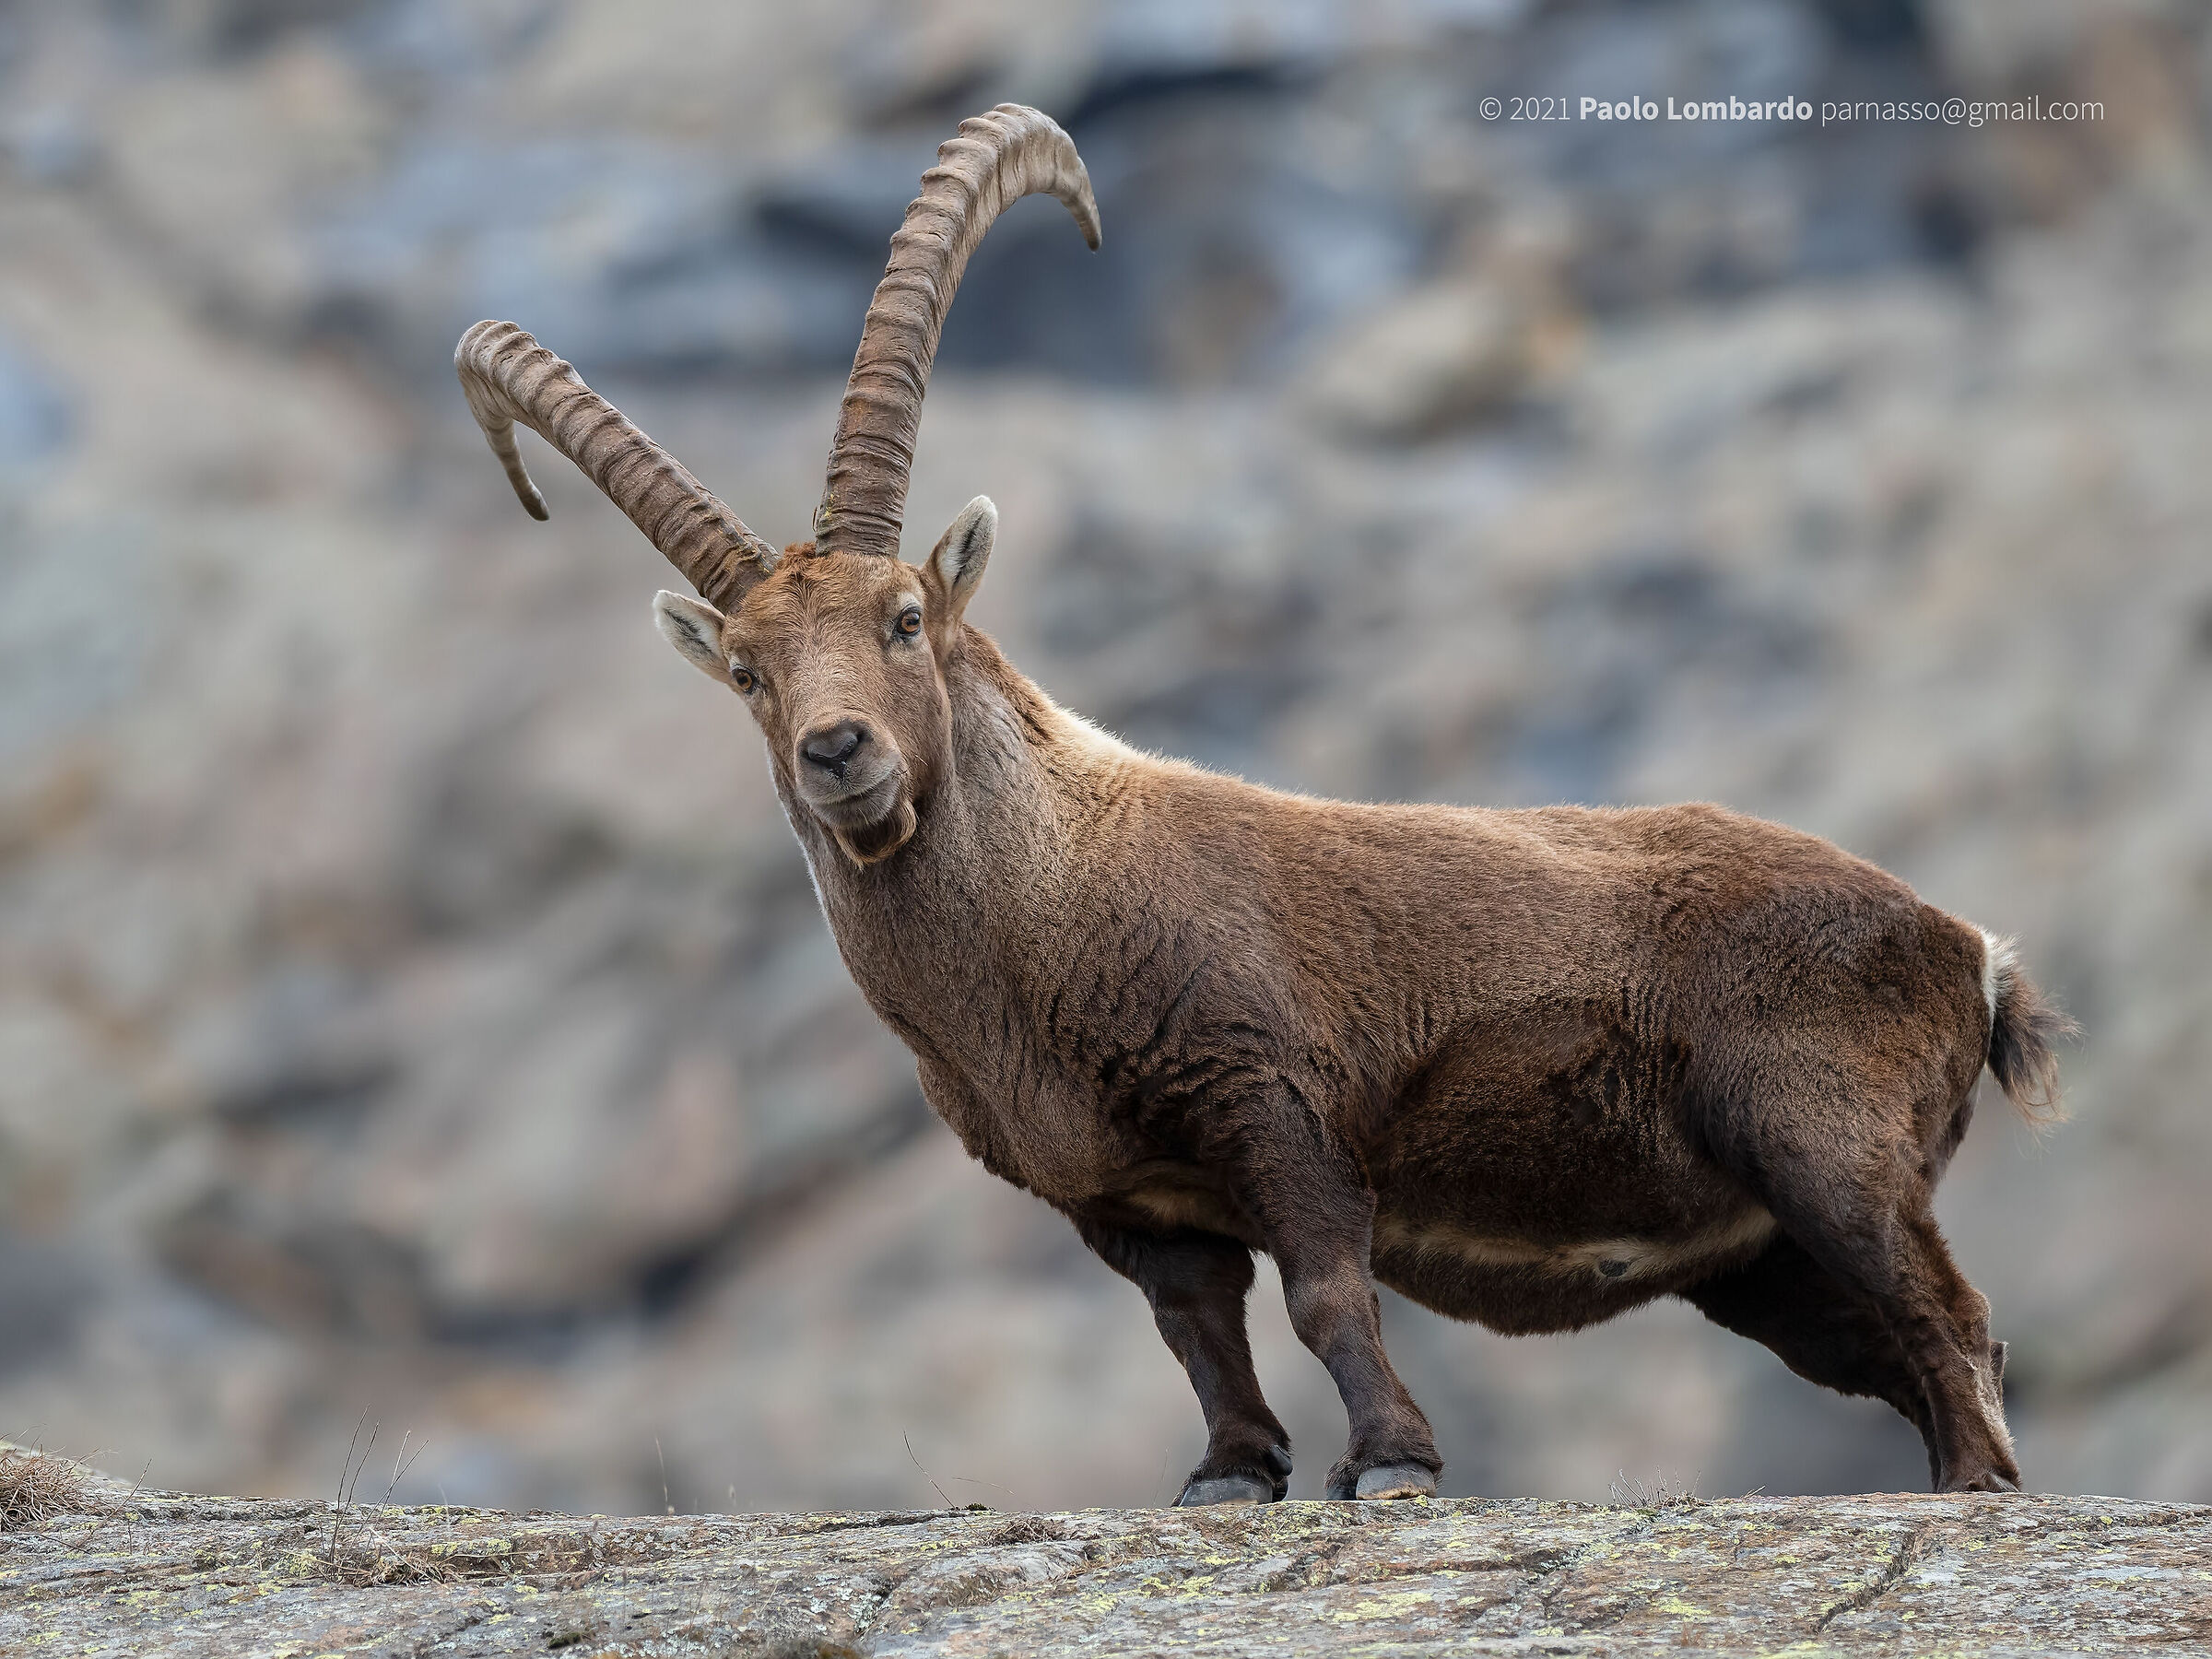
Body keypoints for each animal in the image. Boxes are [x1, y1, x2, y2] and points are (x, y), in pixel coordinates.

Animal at [455, 104, 2072, 1502]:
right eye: (745, 670)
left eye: (905, 615)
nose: (839, 751)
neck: (1045, 912)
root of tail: (1964, 948)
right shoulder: (1125, 1202)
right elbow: (1199, 1334)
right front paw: (1233, 1475)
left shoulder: (1272, 1105)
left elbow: (1326, 1291)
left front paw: (1396, 1466)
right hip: (1757, 1256)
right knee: (1895, 1343)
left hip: (1822, 1144)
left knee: (1953, 1316)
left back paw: (1978, 1495)